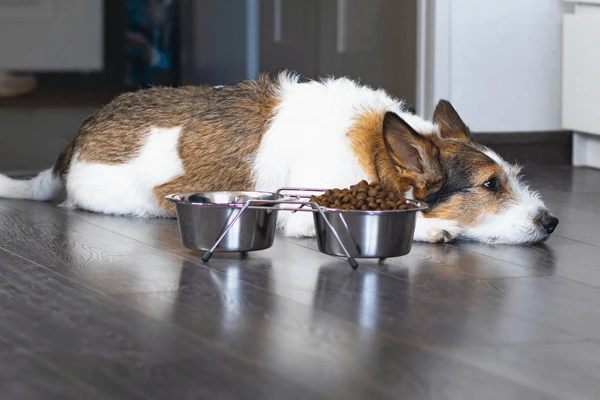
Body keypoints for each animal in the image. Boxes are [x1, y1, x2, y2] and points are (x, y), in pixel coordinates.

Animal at [0, 72, 556, 244]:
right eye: (490, 186)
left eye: (512, 177)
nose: (550, 222)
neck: (375, 152)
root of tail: (74, 144)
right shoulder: (303, 214)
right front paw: (432, 228)